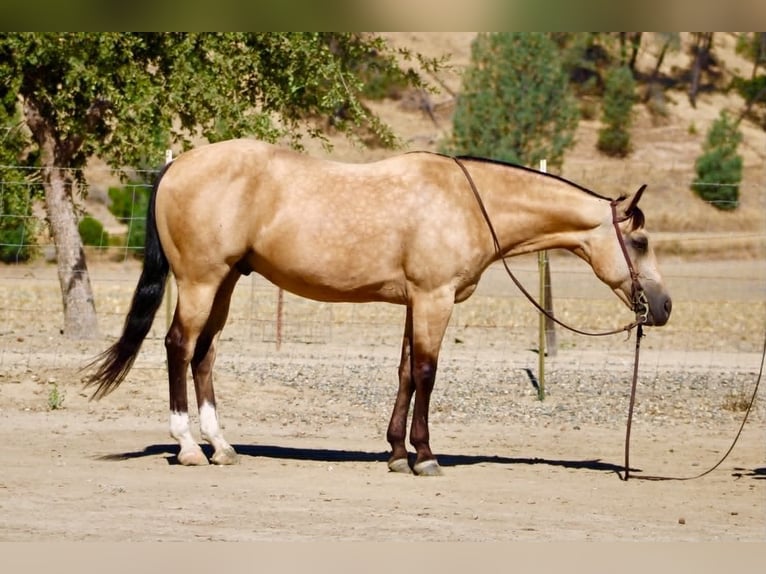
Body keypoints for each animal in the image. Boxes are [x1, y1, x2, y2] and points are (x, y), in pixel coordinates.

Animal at [84, 138, 671, 476]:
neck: (468, 201)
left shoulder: (416, 300)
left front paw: (394, 454)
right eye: (640, 243)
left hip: (224, 282)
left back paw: (221, 446)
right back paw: (187, 446)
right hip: (200, 281)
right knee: (179, 346)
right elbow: (428, 373)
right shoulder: (434, 299)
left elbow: (406, 372)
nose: (663, 307)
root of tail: (178, 165)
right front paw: (425, 456)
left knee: (204, 353)